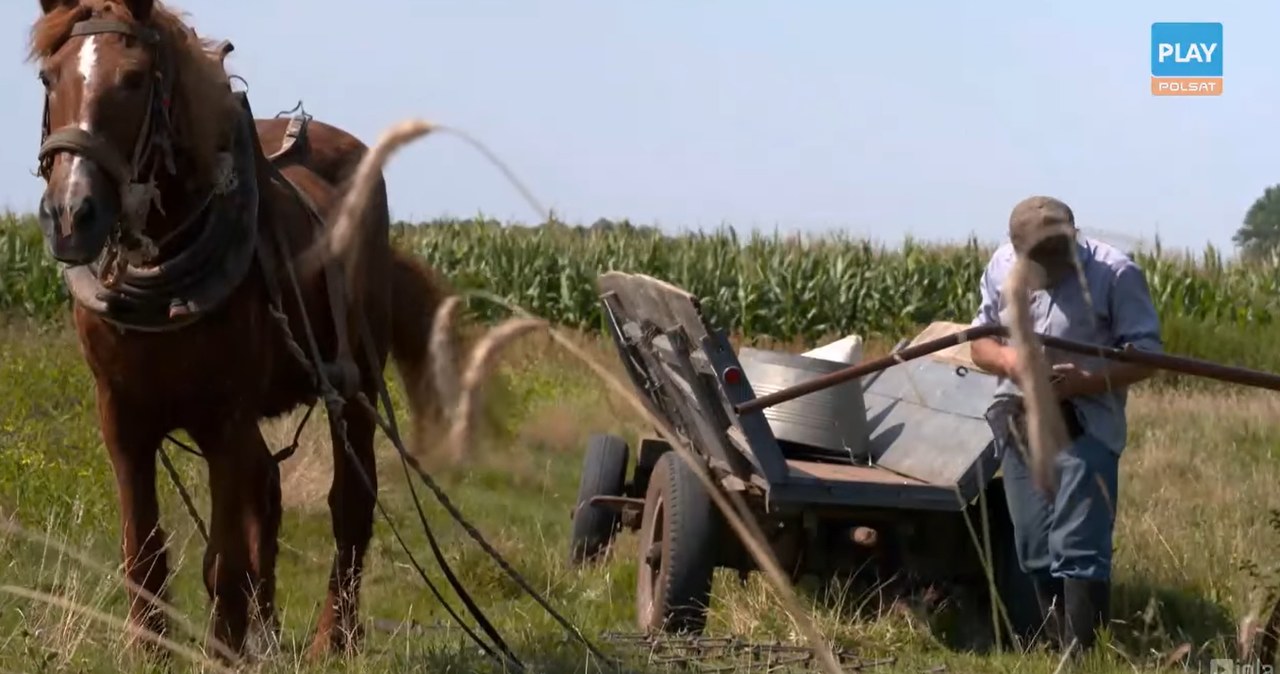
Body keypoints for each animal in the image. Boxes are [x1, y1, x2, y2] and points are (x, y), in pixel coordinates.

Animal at [26, 0, 455, 665]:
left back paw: (334, 639)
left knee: (349, 505)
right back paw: (271, 632)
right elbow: (144, 547)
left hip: (354, 386)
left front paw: (224, 650)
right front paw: (154, 651)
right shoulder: (120, 416)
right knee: (269, 492)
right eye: (51, 78)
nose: (72, 215)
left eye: (134, 79)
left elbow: (224, 559)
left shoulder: (225, 418)